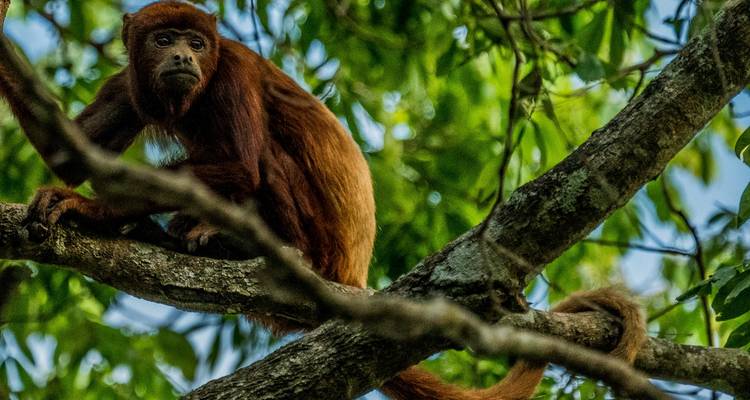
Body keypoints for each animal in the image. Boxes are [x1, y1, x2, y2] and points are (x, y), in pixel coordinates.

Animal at [0, 2, 646, 399]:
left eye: (197, 43)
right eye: (163, 40)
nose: (182, 56)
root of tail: (350, 276)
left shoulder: (230, 72)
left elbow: (240, 166)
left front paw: (88, 208)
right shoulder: (130, 78)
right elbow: (71, 152)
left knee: (264, 160)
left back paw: (245, 246)